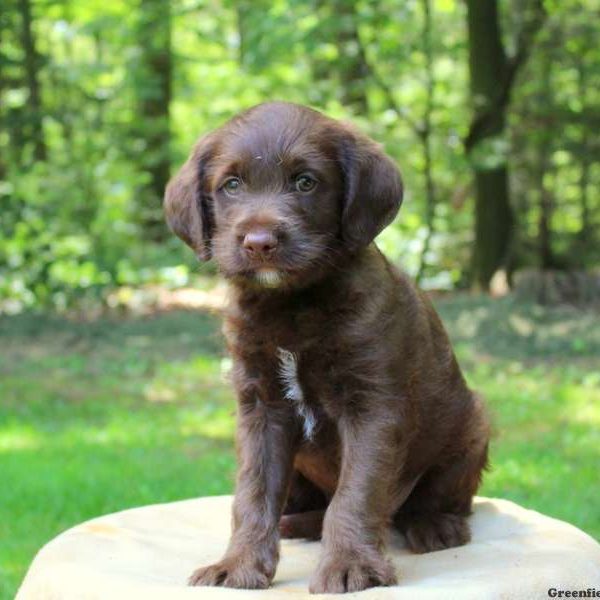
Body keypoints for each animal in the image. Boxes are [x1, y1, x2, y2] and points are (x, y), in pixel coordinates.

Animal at [165, 101, 492, 592]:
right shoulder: (261, 406)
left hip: (471, 425)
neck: (293, 303)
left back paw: (436, 525)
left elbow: (356, 493)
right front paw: (239, 564)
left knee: (434, 501)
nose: (259, 243)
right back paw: (297, 524)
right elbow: (253, 493)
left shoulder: (373, 404)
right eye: (232, 185)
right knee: (309, 505)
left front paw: (351, 565)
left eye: (306, 182)